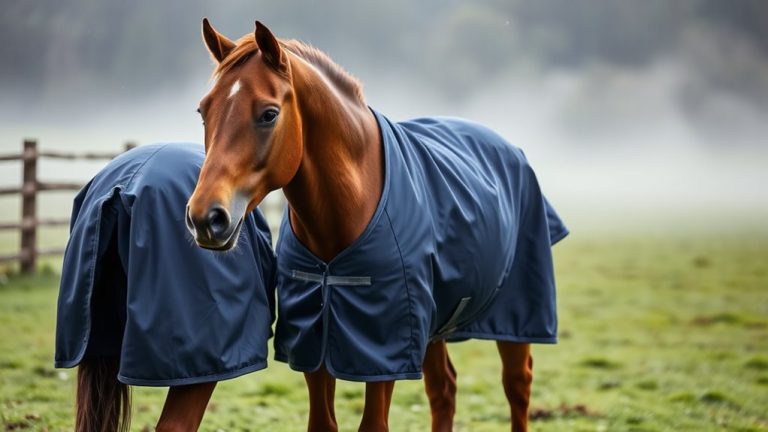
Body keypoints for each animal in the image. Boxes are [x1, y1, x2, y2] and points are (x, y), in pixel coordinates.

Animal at [186, 19, 567, 432]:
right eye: (204, 111)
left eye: (269, 114)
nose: (206, 218)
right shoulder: (315, 347)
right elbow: (323, 422)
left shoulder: (384, 355)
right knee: (444, 390)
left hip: (518, 312)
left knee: (517, 386)